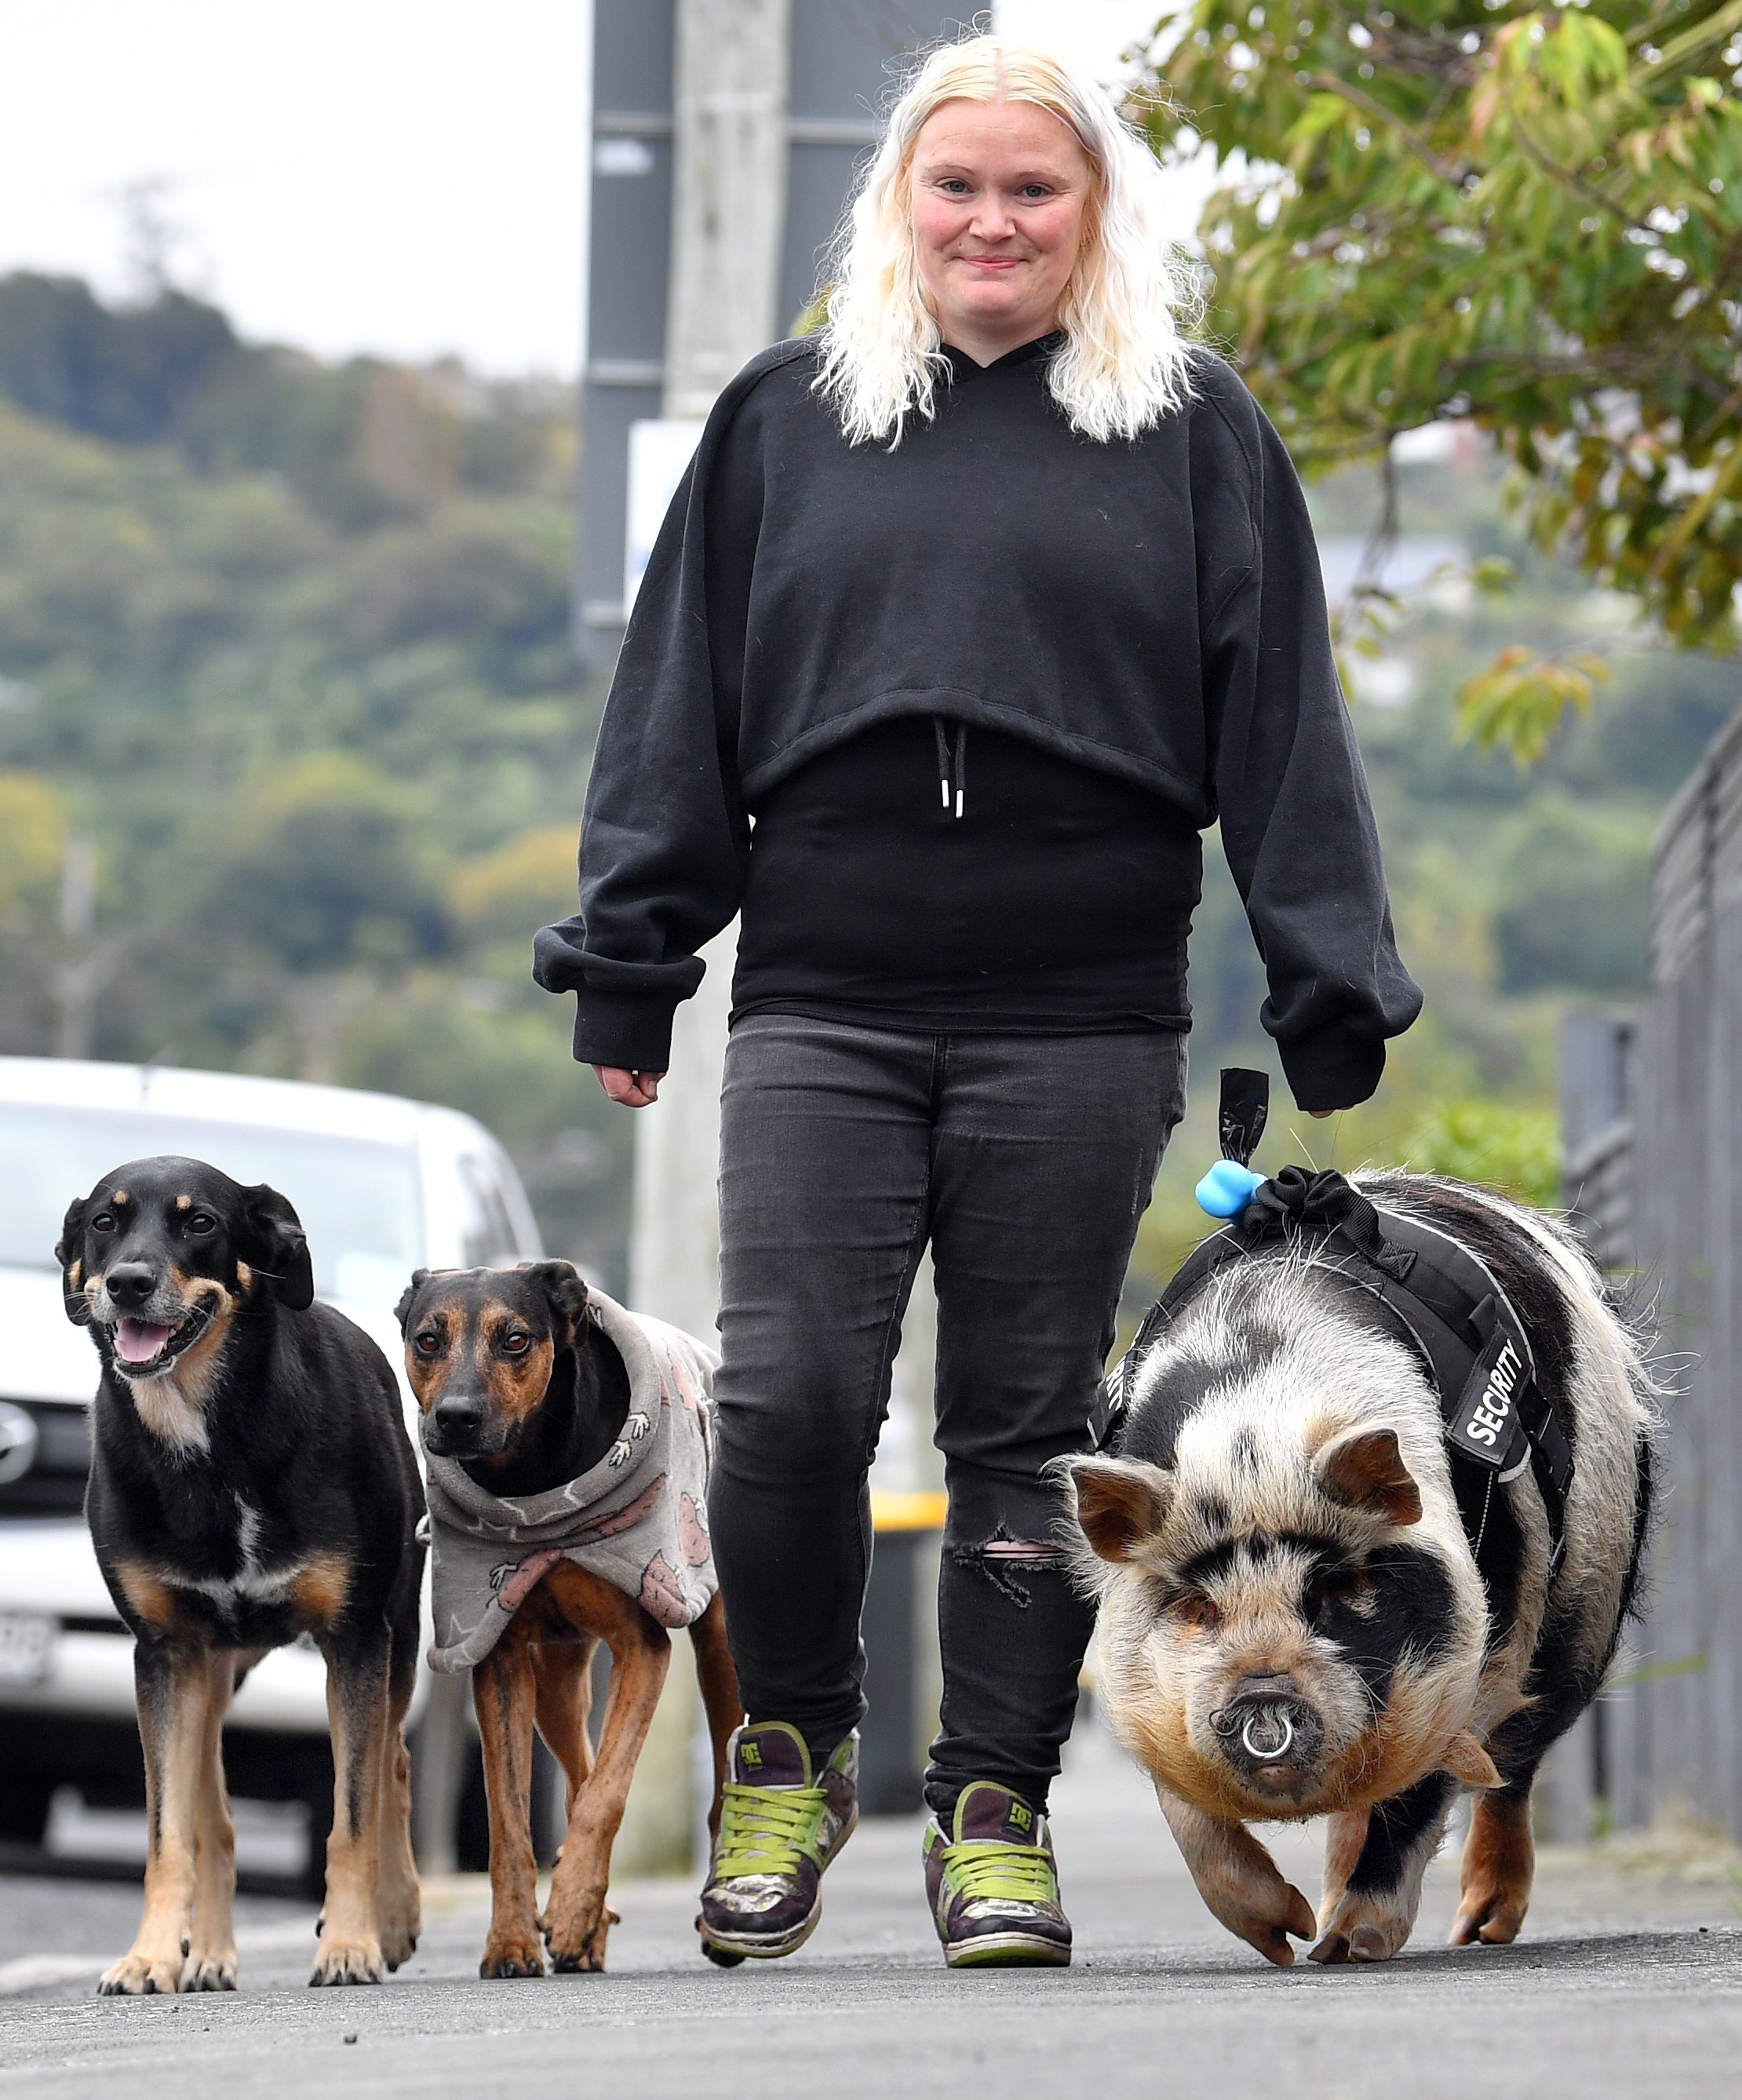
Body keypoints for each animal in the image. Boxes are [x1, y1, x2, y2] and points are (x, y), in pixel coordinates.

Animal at [64, 1159, 430, 1990]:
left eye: (201, 1223)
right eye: (104, 1222)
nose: (128, 1283)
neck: (209, 1440)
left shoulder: (356, 1639)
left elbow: (352, 1818)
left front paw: (351, 1944)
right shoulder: (164, 1652)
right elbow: (170, 1835)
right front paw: (150, 1956)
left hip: (396, 1632)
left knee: (393, 1764)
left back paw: (395, 1916)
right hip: (211, 1669)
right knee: (213, 1816)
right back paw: (208, 1954)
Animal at [396, 1260, 742, 1982]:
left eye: (517, 1340)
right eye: (427, 1340)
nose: (457, 1417)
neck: (533, 1479)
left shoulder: (643, 1645)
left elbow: (608, 1794)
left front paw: (574, 1902)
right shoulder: (495, 1650)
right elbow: (511, 1821)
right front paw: (514, 1940)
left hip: (719, 1639)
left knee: (718, 1767)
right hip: (556, 1679)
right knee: (576, 1774)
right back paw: (585, 1927)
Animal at [1066, 1184, 1662, 1965]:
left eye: (1340, 1590)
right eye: (1196, 1605)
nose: (1263, 1695)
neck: (1257, 1438)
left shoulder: (1467, 1659)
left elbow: (1419, 1799)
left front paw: (1344, 1947)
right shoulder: (1151, 1700)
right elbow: (1189, 1815)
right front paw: (1287, 1938)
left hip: (1587, 1597)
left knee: (1514, 1767)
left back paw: (1479, 1930)